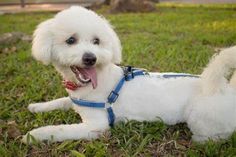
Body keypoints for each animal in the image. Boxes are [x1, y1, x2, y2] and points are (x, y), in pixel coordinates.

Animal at [22, 6, 236, 144]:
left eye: (96, 41)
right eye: (71, 40)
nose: (90, 58)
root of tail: (225, 89)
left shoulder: (96, 126)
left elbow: (59, 129)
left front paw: (34, 135)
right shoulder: (75, 101)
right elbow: (60, 101)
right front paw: (37, 106)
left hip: (200, 119)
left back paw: (203, 140)